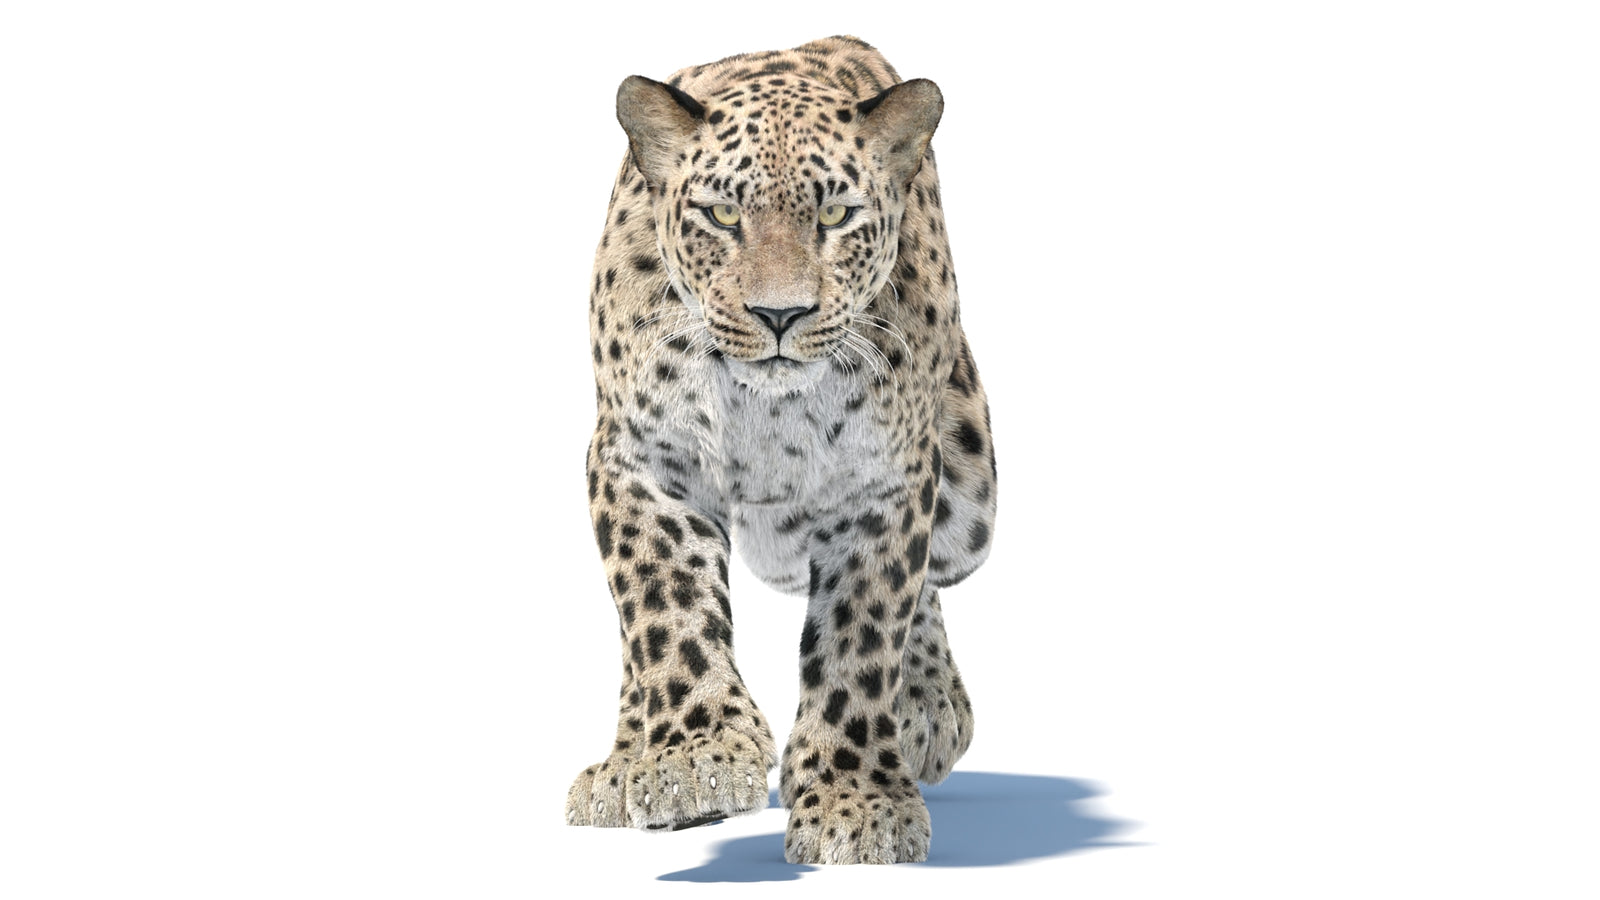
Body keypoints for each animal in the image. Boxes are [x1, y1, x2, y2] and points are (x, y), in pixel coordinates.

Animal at [563, 36, 997, 865]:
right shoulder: (639, 457)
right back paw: (623, 762)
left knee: (933, 574)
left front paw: (857, 800)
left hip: (970, 498)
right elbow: (664, 604)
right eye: (723, 213)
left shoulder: (881, 484)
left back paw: (926, 708)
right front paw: (689, 758)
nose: (779, 314)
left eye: (835, 214)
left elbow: (865, 634)